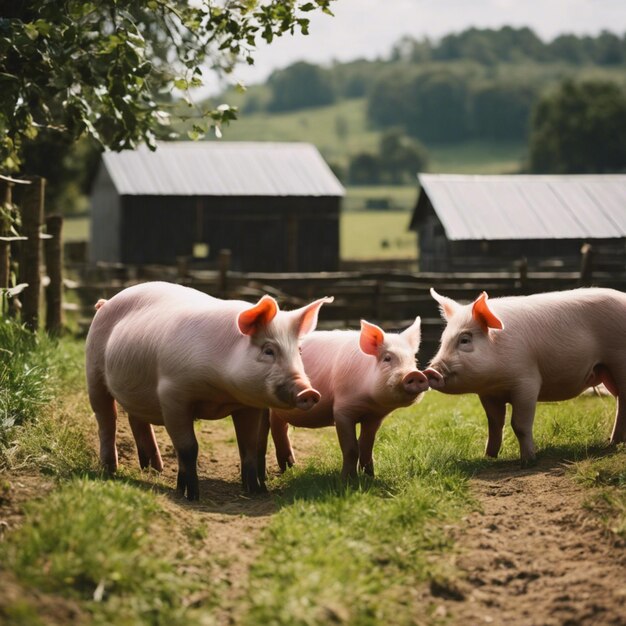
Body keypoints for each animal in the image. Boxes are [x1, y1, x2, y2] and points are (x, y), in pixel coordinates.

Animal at [87, 280, 332, 500]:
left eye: (299, 350)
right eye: (268, 350)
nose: (308, 392)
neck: (221, 392)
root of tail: (106, 302)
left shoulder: (248, 404)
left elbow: (249, 445)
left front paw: (256, 492)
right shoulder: (172, 394)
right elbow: (188, 448)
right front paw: (190, 495)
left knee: (136, 419)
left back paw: (155, 469)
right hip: (93, 370)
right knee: (107, 418)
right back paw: (110, 470)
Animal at [256, 316, 442, 478]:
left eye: (414, 360)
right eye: (387, 358)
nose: (415, 374)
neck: (369, 402)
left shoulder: (375, 417)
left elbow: (366, 446)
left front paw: (370, 477)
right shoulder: (342, 410)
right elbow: (352, 448)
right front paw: (347, 480)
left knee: (280, 426)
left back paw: (290, 467)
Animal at [426, 288, 624, 464]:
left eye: (465, 340)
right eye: (443, 341)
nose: (430, 370)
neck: (496, 382)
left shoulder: (527, 382)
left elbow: (519, 424)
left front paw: (528, 460)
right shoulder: (488, 393)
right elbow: (494, 424)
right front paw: (488, 457)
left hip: (618, 361)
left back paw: (613, 443)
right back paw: (614, 442)